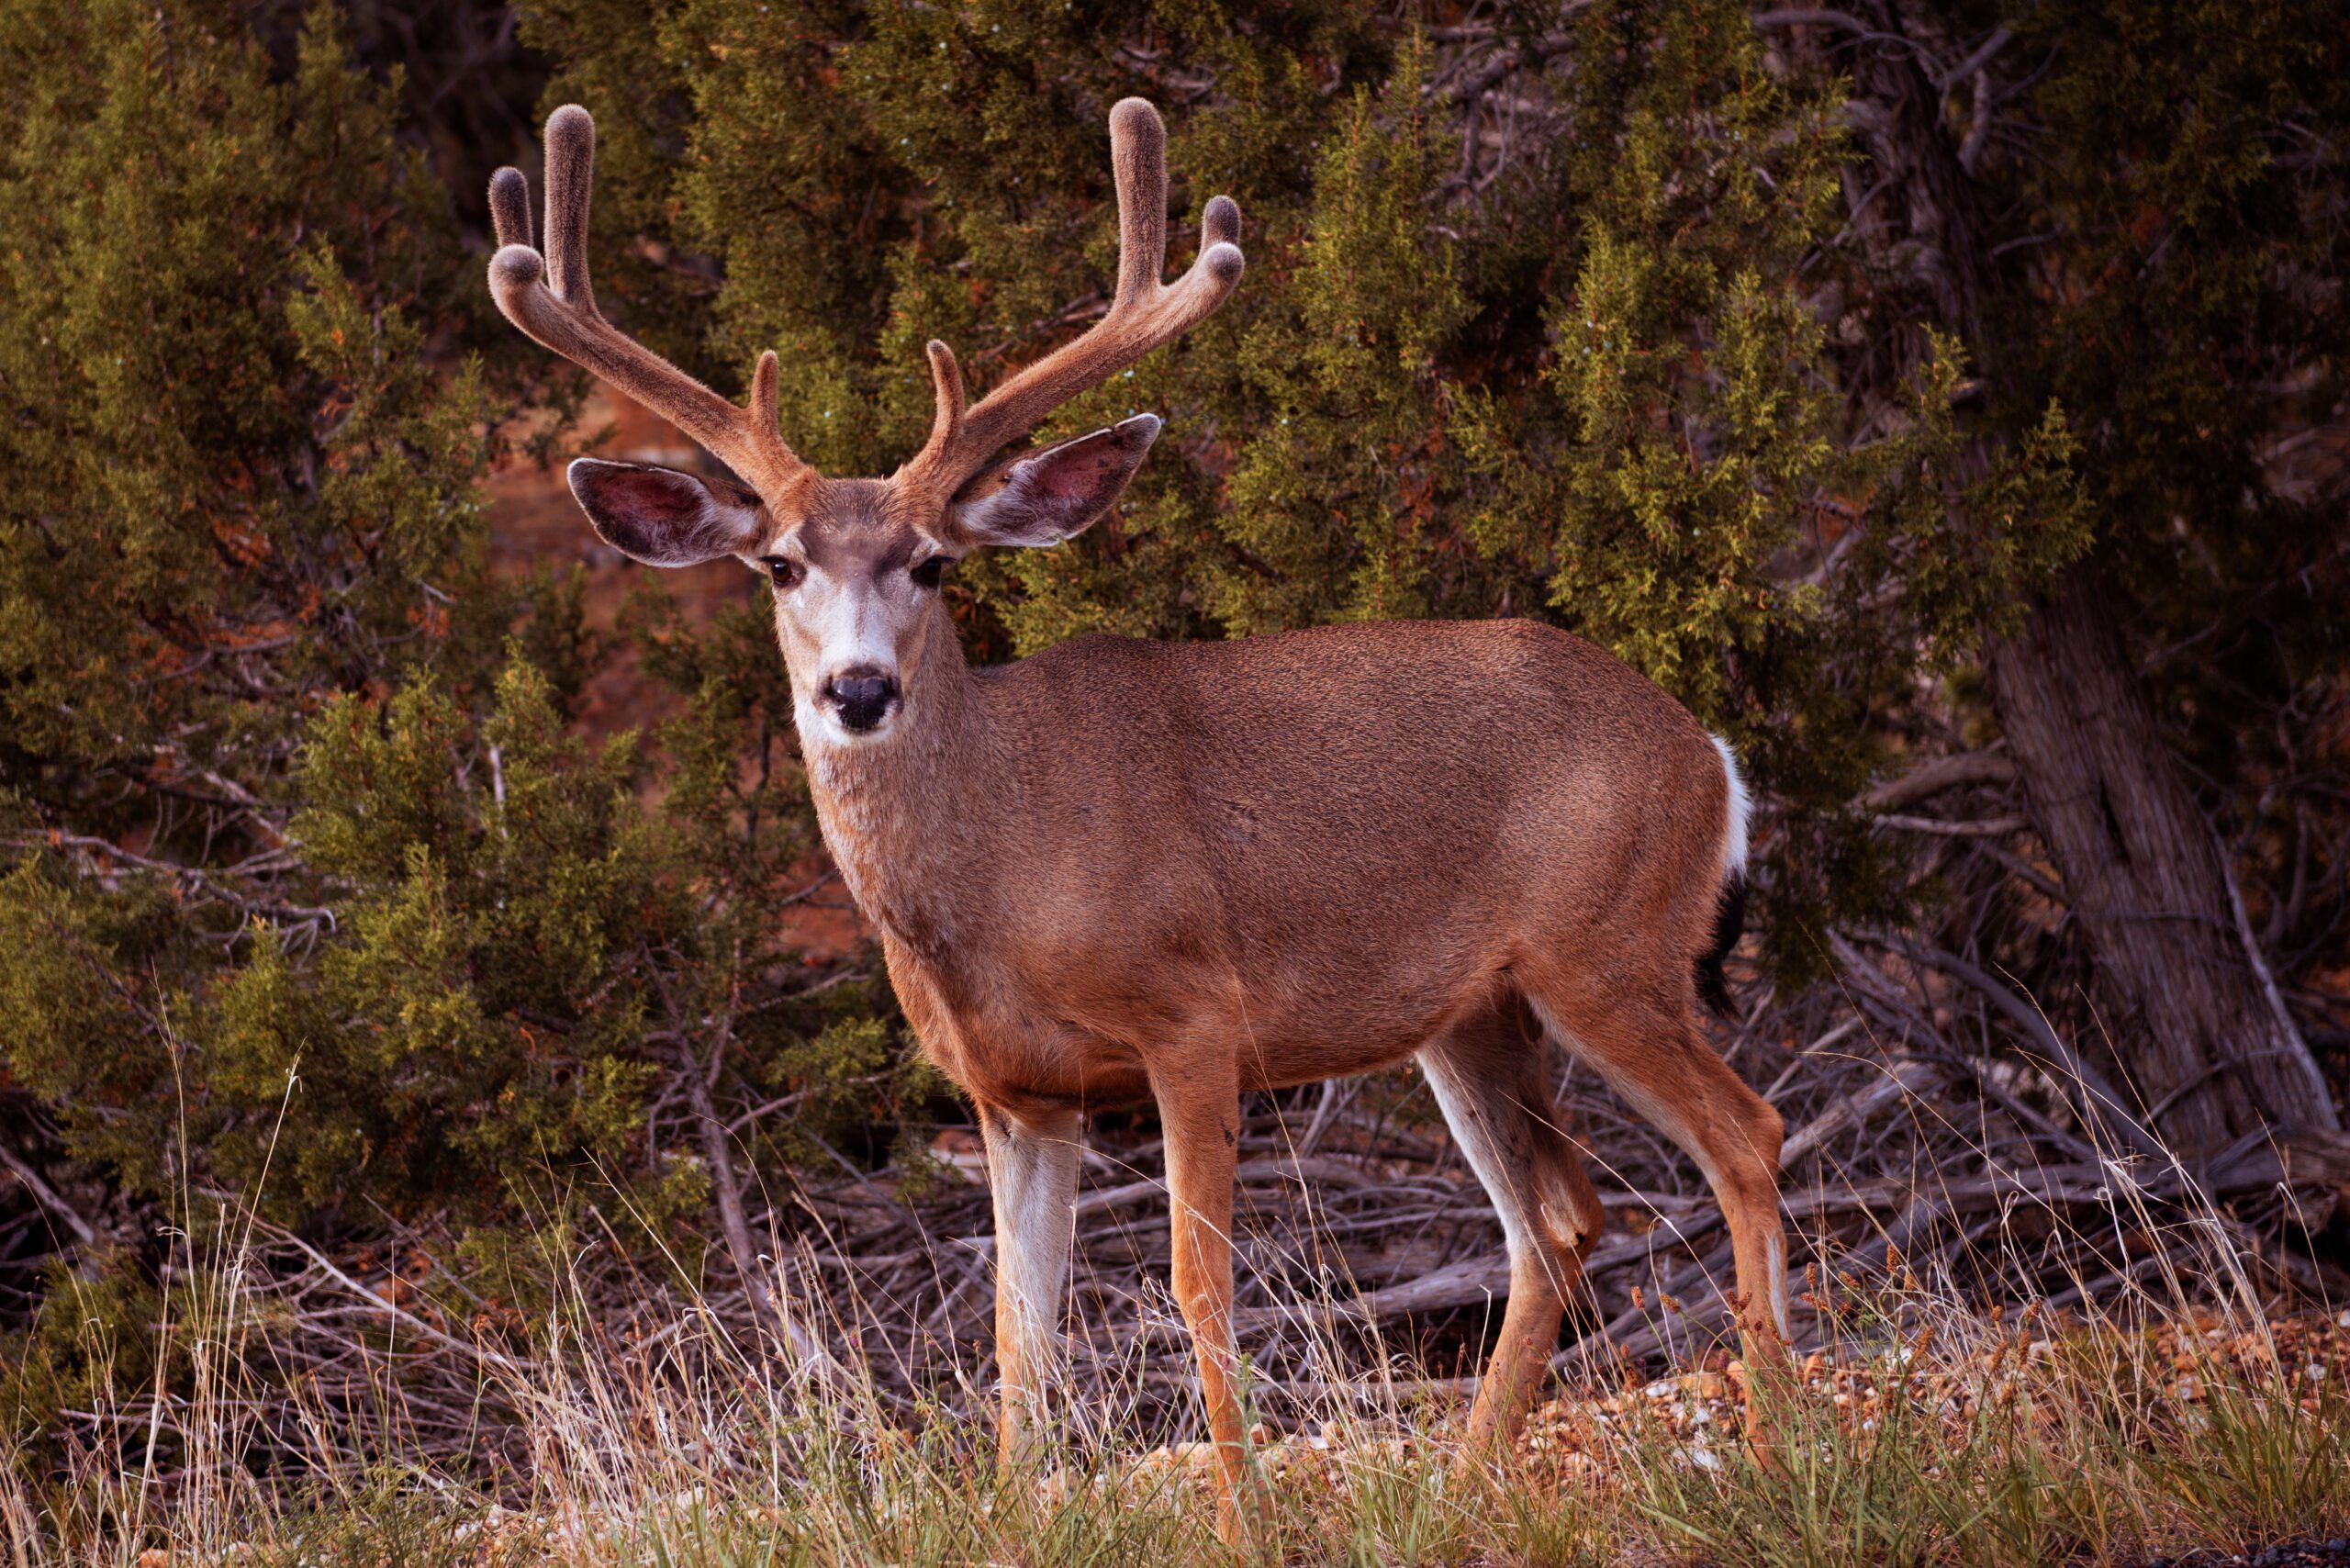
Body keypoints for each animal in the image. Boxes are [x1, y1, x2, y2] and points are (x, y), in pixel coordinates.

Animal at [486, 98, 1789, 1535]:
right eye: (777, 564)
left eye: (932, 564)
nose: (860, 688)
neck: (1001, 870)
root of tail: (1710, 755)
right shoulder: (1014, 1092)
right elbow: (1019, 1327)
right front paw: (1016, 1515)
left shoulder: (1195, 1014)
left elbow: (1194, 1281)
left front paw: (1242, 1519)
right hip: (1470, 1013)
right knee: (1555, 1220)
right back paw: (1462, 1489)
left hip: (1606, 948)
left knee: (1745, 1137)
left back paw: (1783, 1439)